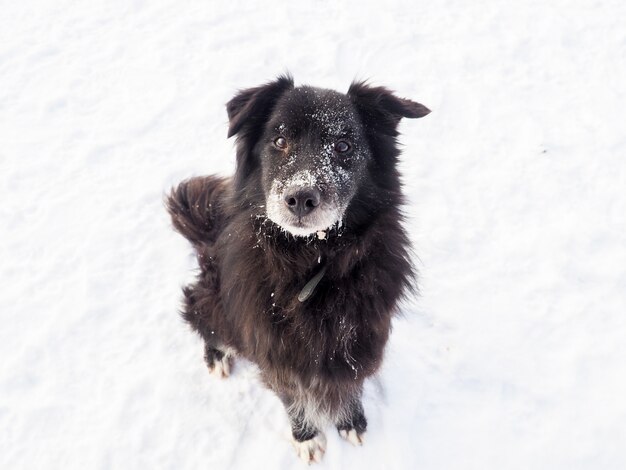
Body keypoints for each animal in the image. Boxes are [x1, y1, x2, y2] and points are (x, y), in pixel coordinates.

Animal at [167, 74, 428, 462]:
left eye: (344, 146)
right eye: (279, 141)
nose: (301, 198)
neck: (312, 261)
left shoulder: (362, 334)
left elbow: (350, 382)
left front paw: (352, 421)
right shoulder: (274, 347)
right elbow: (292, 396)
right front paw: (306, 437)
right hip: (214, 301)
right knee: (204, 318)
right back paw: (217, 355)